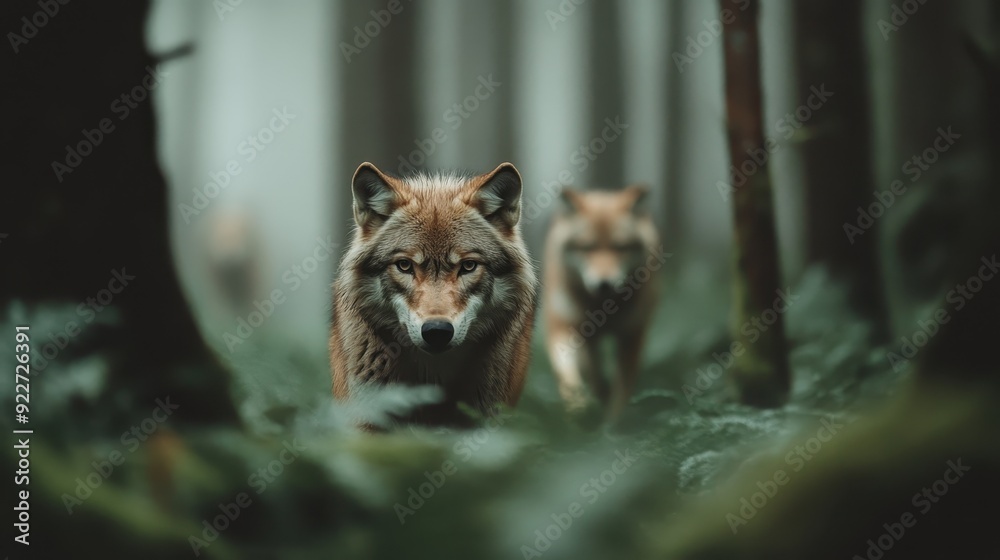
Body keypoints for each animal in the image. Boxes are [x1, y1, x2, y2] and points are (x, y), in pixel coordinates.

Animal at [543, 186, 664, 420]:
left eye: (621, 248)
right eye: (586, 248)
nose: (604, 284)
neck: (602, 309)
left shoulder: (631, 337)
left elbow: (621, 393)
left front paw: (612, 423)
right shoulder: (562, 328)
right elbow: (568, 375)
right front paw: (580, 409)